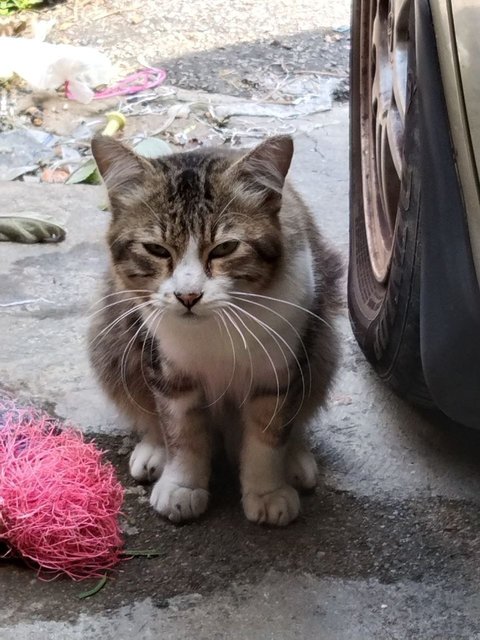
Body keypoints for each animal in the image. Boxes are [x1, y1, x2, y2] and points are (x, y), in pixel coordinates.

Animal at [89, 134, 342, 524]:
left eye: (225, 248)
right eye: (156, 249)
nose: (188, 295)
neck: (215, 328)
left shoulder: (279, 371)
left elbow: (268, 434)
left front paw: (267, 489)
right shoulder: (170, 373)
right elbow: (182, 433)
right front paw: (182, 484)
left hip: (324, 346)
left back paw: (295, 458)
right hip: (111, 337)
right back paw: (154, 448)